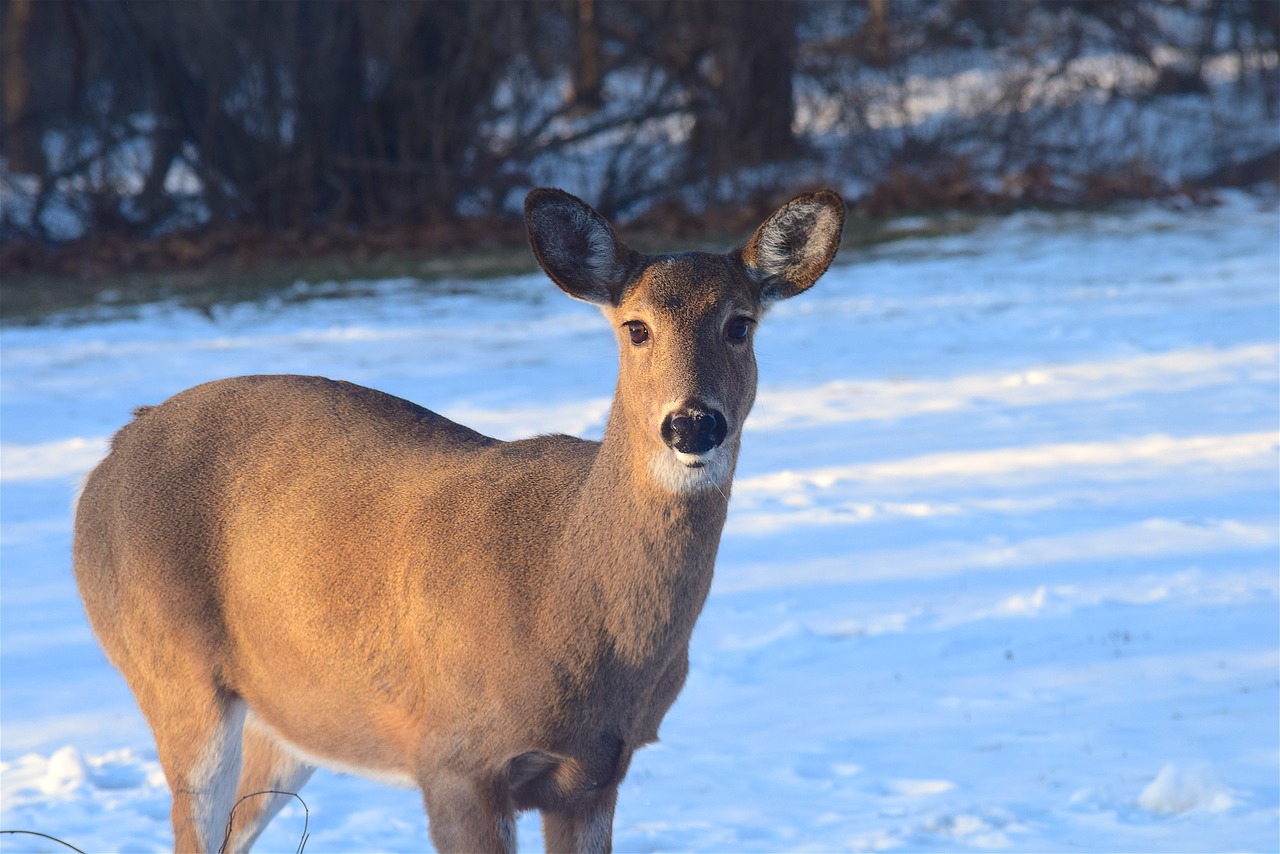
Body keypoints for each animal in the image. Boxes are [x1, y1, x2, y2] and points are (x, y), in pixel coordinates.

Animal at [74, 184, 844, 850]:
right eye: (636, 328)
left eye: (740, 324)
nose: (692, 425)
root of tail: (109, 457)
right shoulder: (452, 759)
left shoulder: (597, 775)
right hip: (171, 669)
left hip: (293, 716)